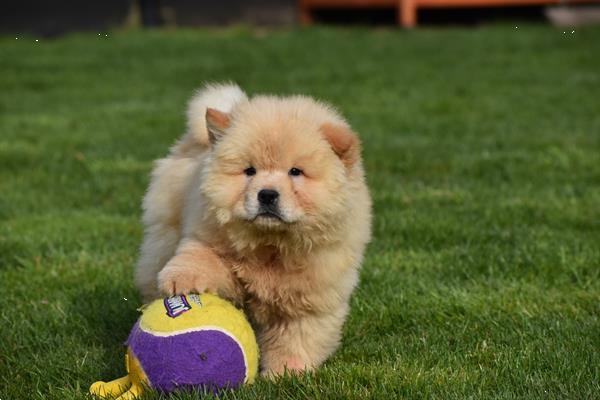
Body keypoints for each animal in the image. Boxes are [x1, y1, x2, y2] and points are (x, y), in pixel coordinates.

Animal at [135, 83, 370, 376]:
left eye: (295, 172)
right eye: (250, 171)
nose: (267, 194)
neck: (270, 244)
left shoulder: (311, 296)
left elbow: (297, 338)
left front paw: (285, 373)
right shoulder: (206, 238)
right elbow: (201, 259)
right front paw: (182, 281)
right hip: (164, 235)